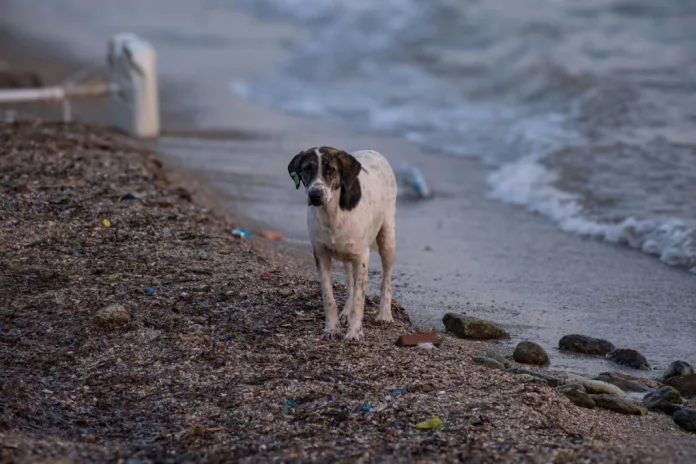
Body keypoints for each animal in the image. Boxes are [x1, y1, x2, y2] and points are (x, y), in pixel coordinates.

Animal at [288, 147, 396, 338]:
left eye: (331, 170)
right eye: (307, 169)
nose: (315, 195)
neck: (332, 213)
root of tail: (373, 151)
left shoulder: (362, 257)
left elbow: (360, 299)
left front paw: (354, 332)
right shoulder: (320, 254)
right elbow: (328, 297)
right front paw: (331, 328)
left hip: (387, 239)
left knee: (386, 279)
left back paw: (384, 314)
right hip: (347, 256)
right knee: (350, 283)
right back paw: (346, 311)